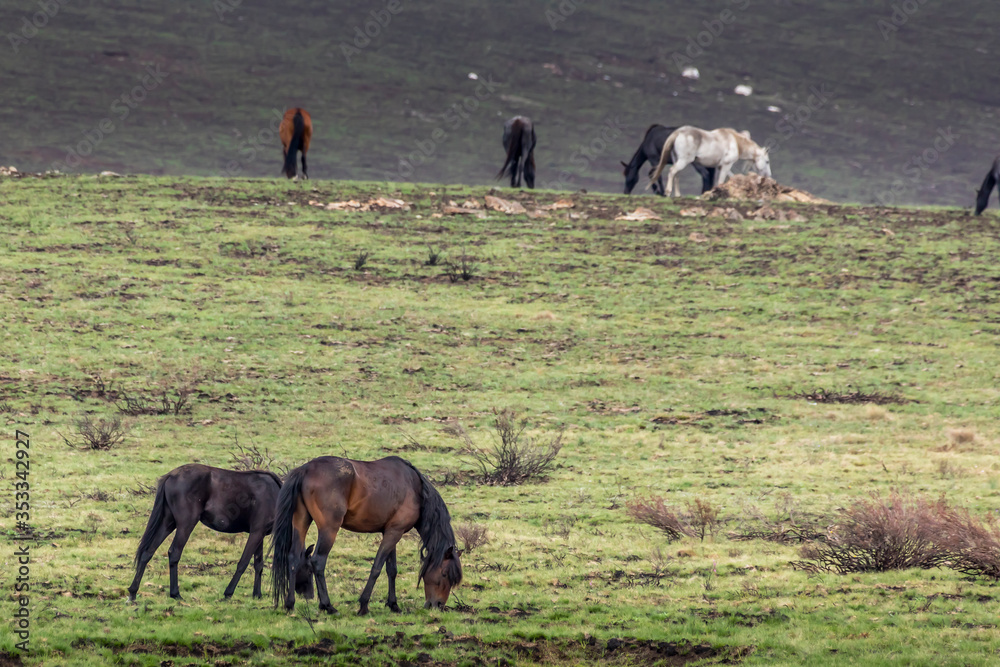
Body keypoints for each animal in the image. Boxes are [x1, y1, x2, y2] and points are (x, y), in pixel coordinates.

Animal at [128, 464, 314, 602]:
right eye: (309, 568)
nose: (311, 596)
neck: (275, 495)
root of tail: (171, 475)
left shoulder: (259, 535)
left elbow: (258, 565)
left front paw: (257, 595)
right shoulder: (256, 533)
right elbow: (243, 563)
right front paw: (228, 593)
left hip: (168, 523)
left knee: (148, 552)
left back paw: (133, 592)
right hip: (185, 524)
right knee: (174, 553)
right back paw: (175, 593)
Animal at [271, 456, 463, 616]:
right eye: (444, 574)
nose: (438, 605)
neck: (415, 488)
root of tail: (305, 469)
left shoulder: (391, 531)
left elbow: (392, 570)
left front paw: (393, 604)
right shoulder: (394, 532)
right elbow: (377, 568)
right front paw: (363, 605)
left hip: (301, 522)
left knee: (294, 558)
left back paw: (290, 604)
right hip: (328, 529)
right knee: (318, 561)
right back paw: (328, 606)